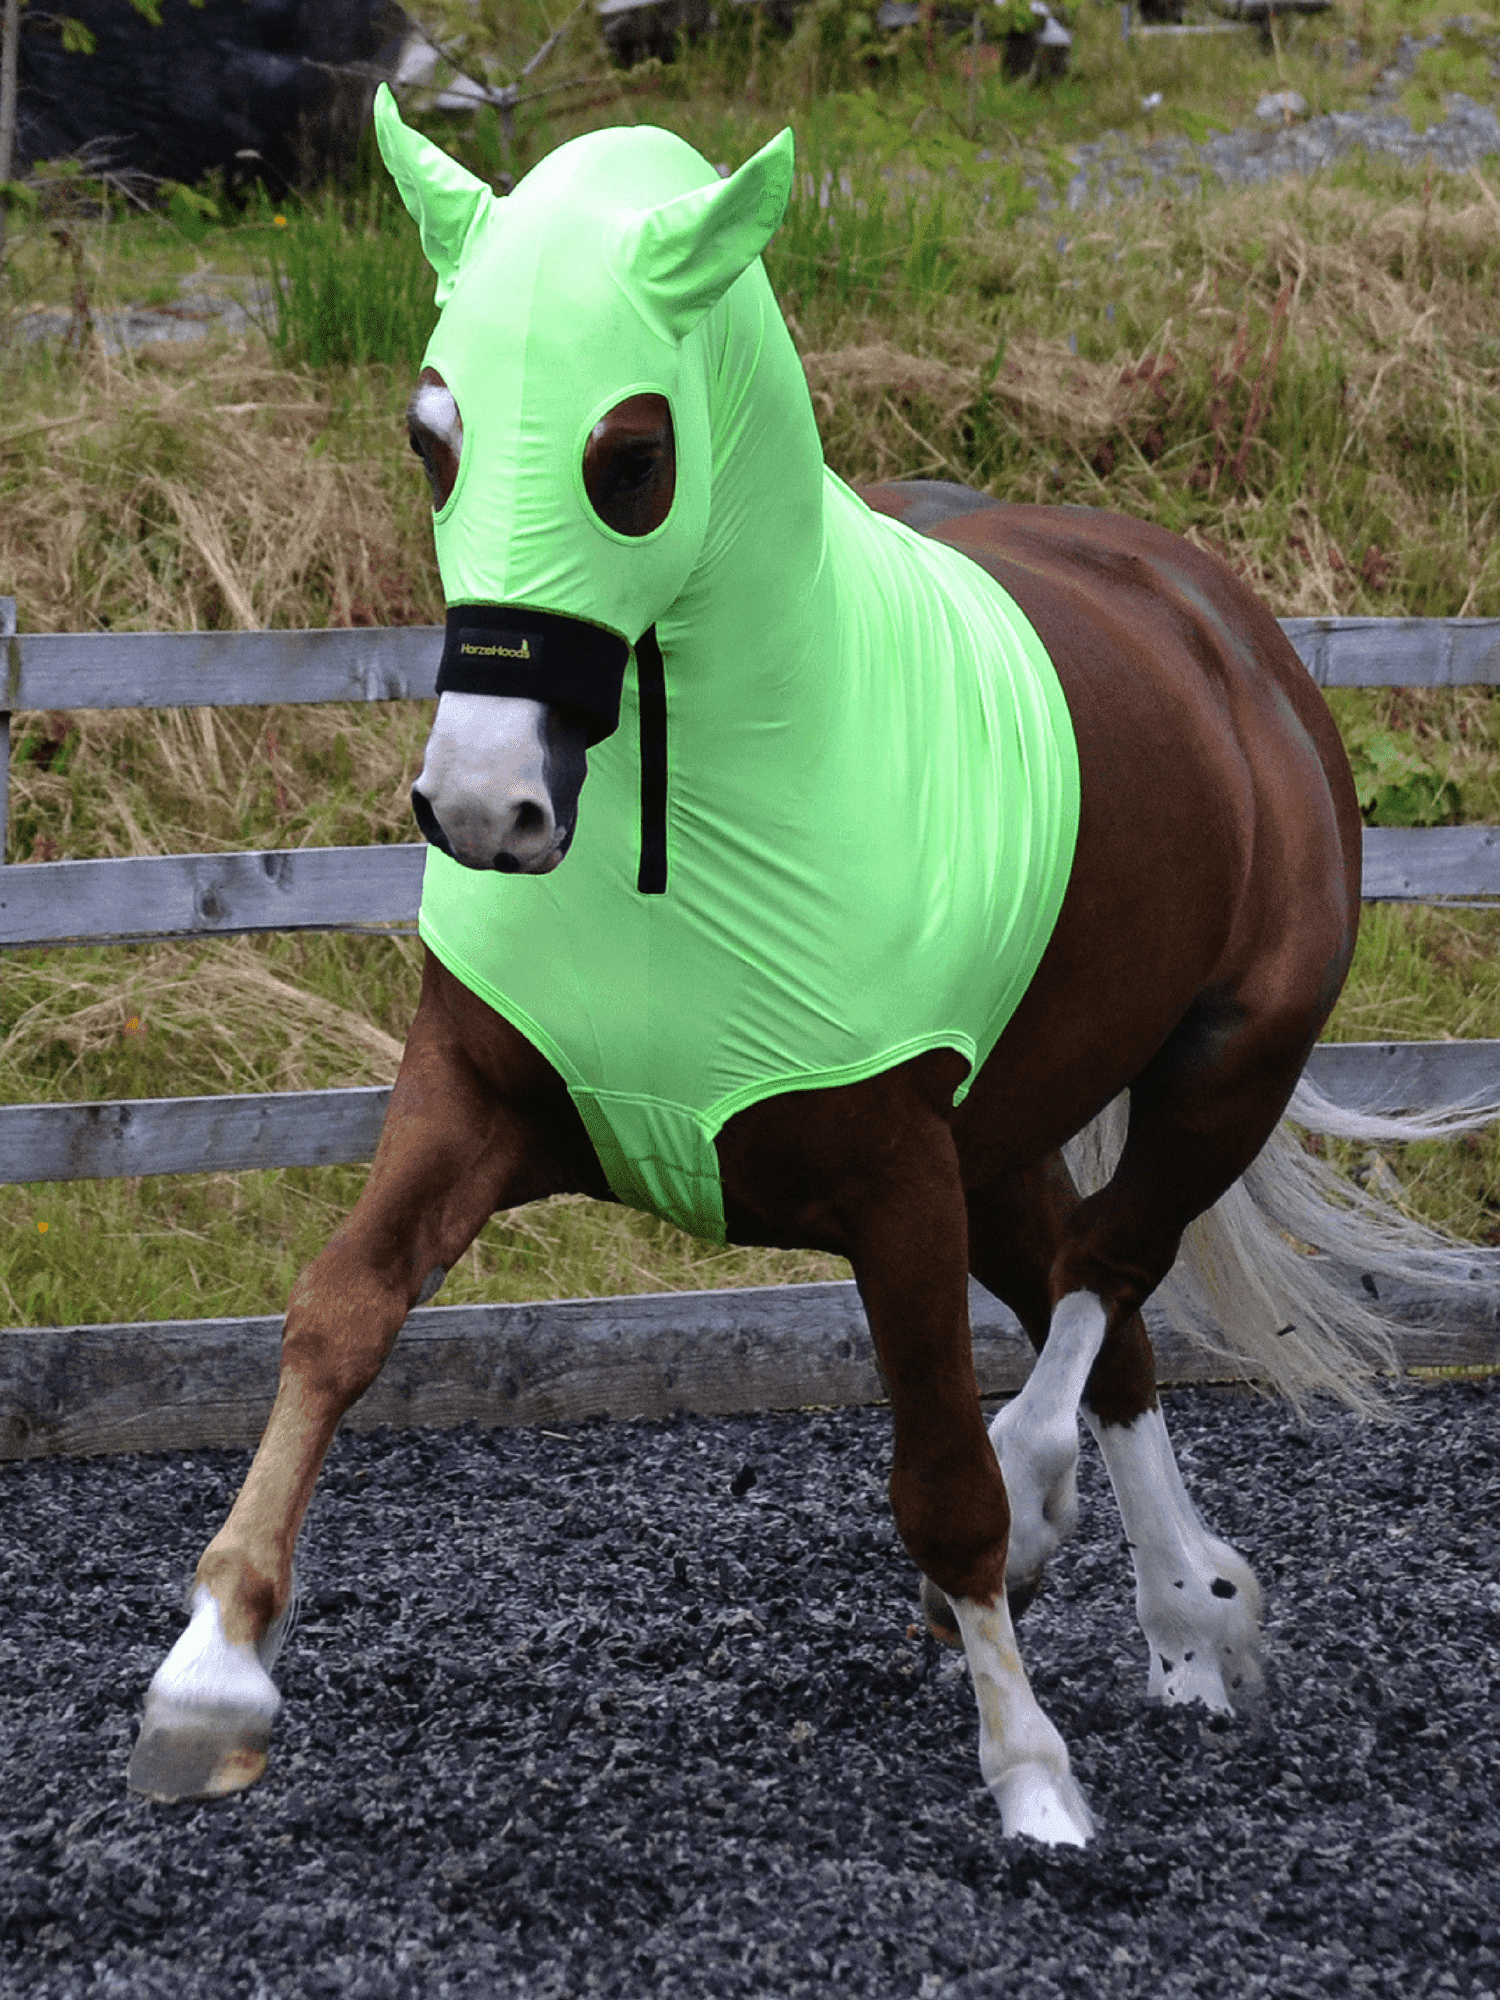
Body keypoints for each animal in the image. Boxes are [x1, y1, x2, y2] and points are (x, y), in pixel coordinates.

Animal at [126, 94, 1496, 1840]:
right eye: (433, 437)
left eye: (632, 459)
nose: (484, 806)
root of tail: (1228, 631)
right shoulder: (475, 1095)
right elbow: (336, 1318)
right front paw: (207, 1687)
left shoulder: (892, 1178)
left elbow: (945, 1481)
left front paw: (1034, 1782)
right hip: (1007, 1139)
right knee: (1103, 1314)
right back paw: (1197, 1625)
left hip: (1222, 1071)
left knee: (1106, 1275)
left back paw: (1103, 1560)